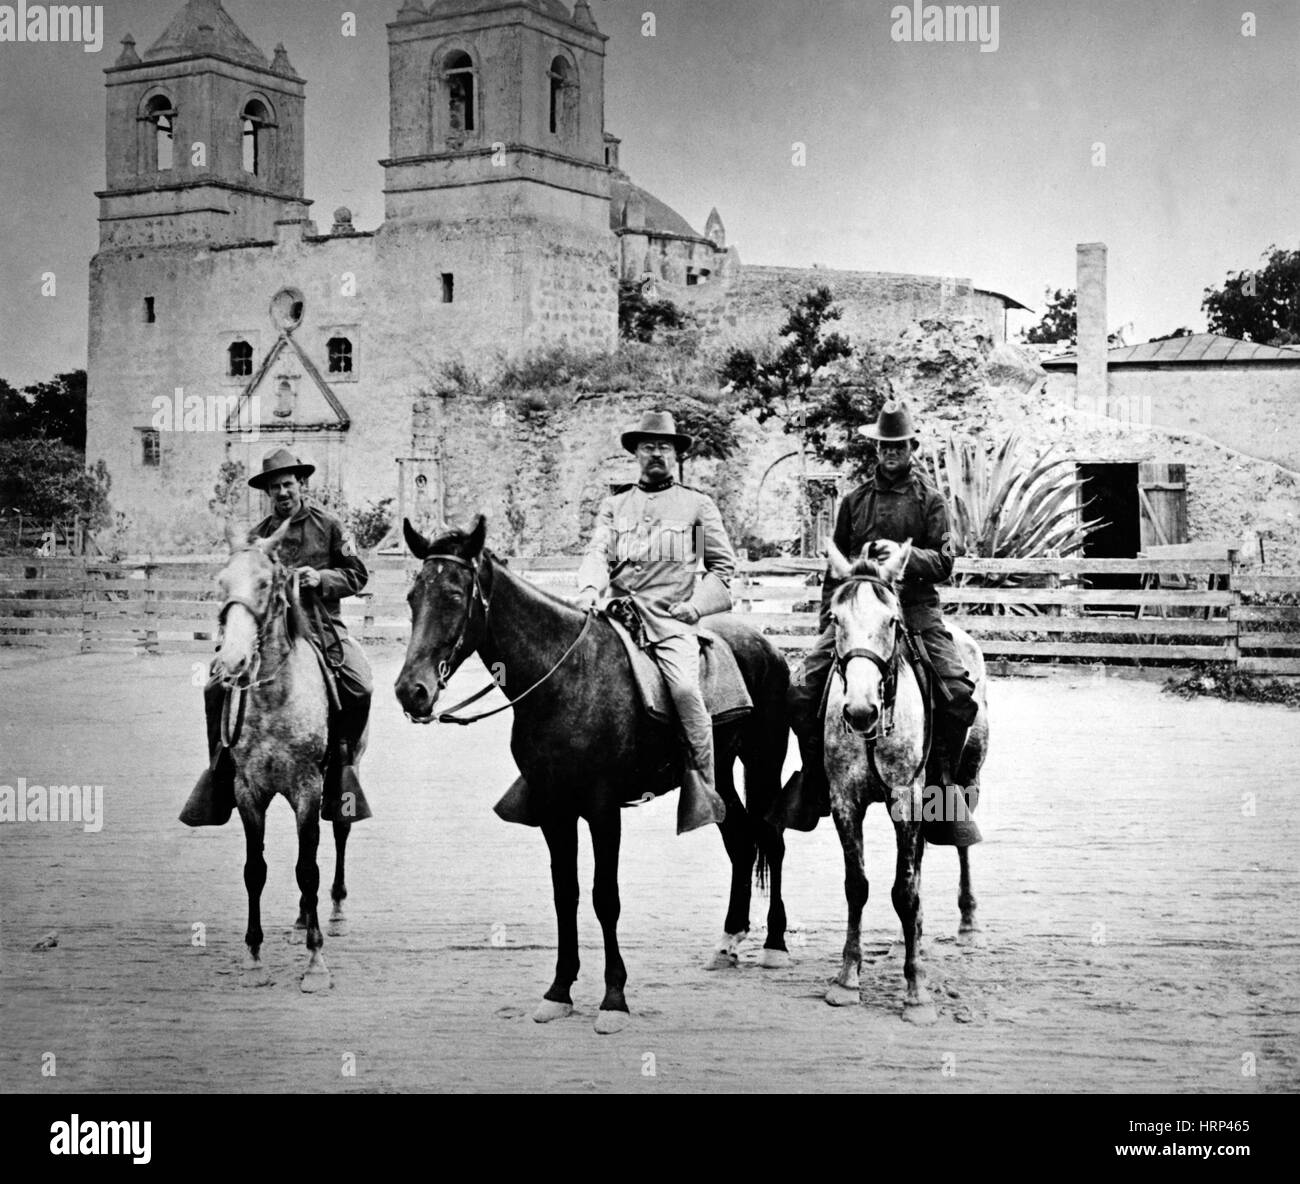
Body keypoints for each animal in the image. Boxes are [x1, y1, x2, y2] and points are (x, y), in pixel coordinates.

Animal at [390, 519, 785, 1039]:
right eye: (413, 596)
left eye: (455, 595)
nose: (411, 691)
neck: (564, 679)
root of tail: (767, 646)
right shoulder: (554, 810)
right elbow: (567, 894)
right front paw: (559, 991)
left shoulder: (601, 809)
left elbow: (604, 897)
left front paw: (614, 998)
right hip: (718, 777)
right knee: (740, 840)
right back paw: (728, 941)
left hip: (765, 762)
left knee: (771, 841)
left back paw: (775, 945)